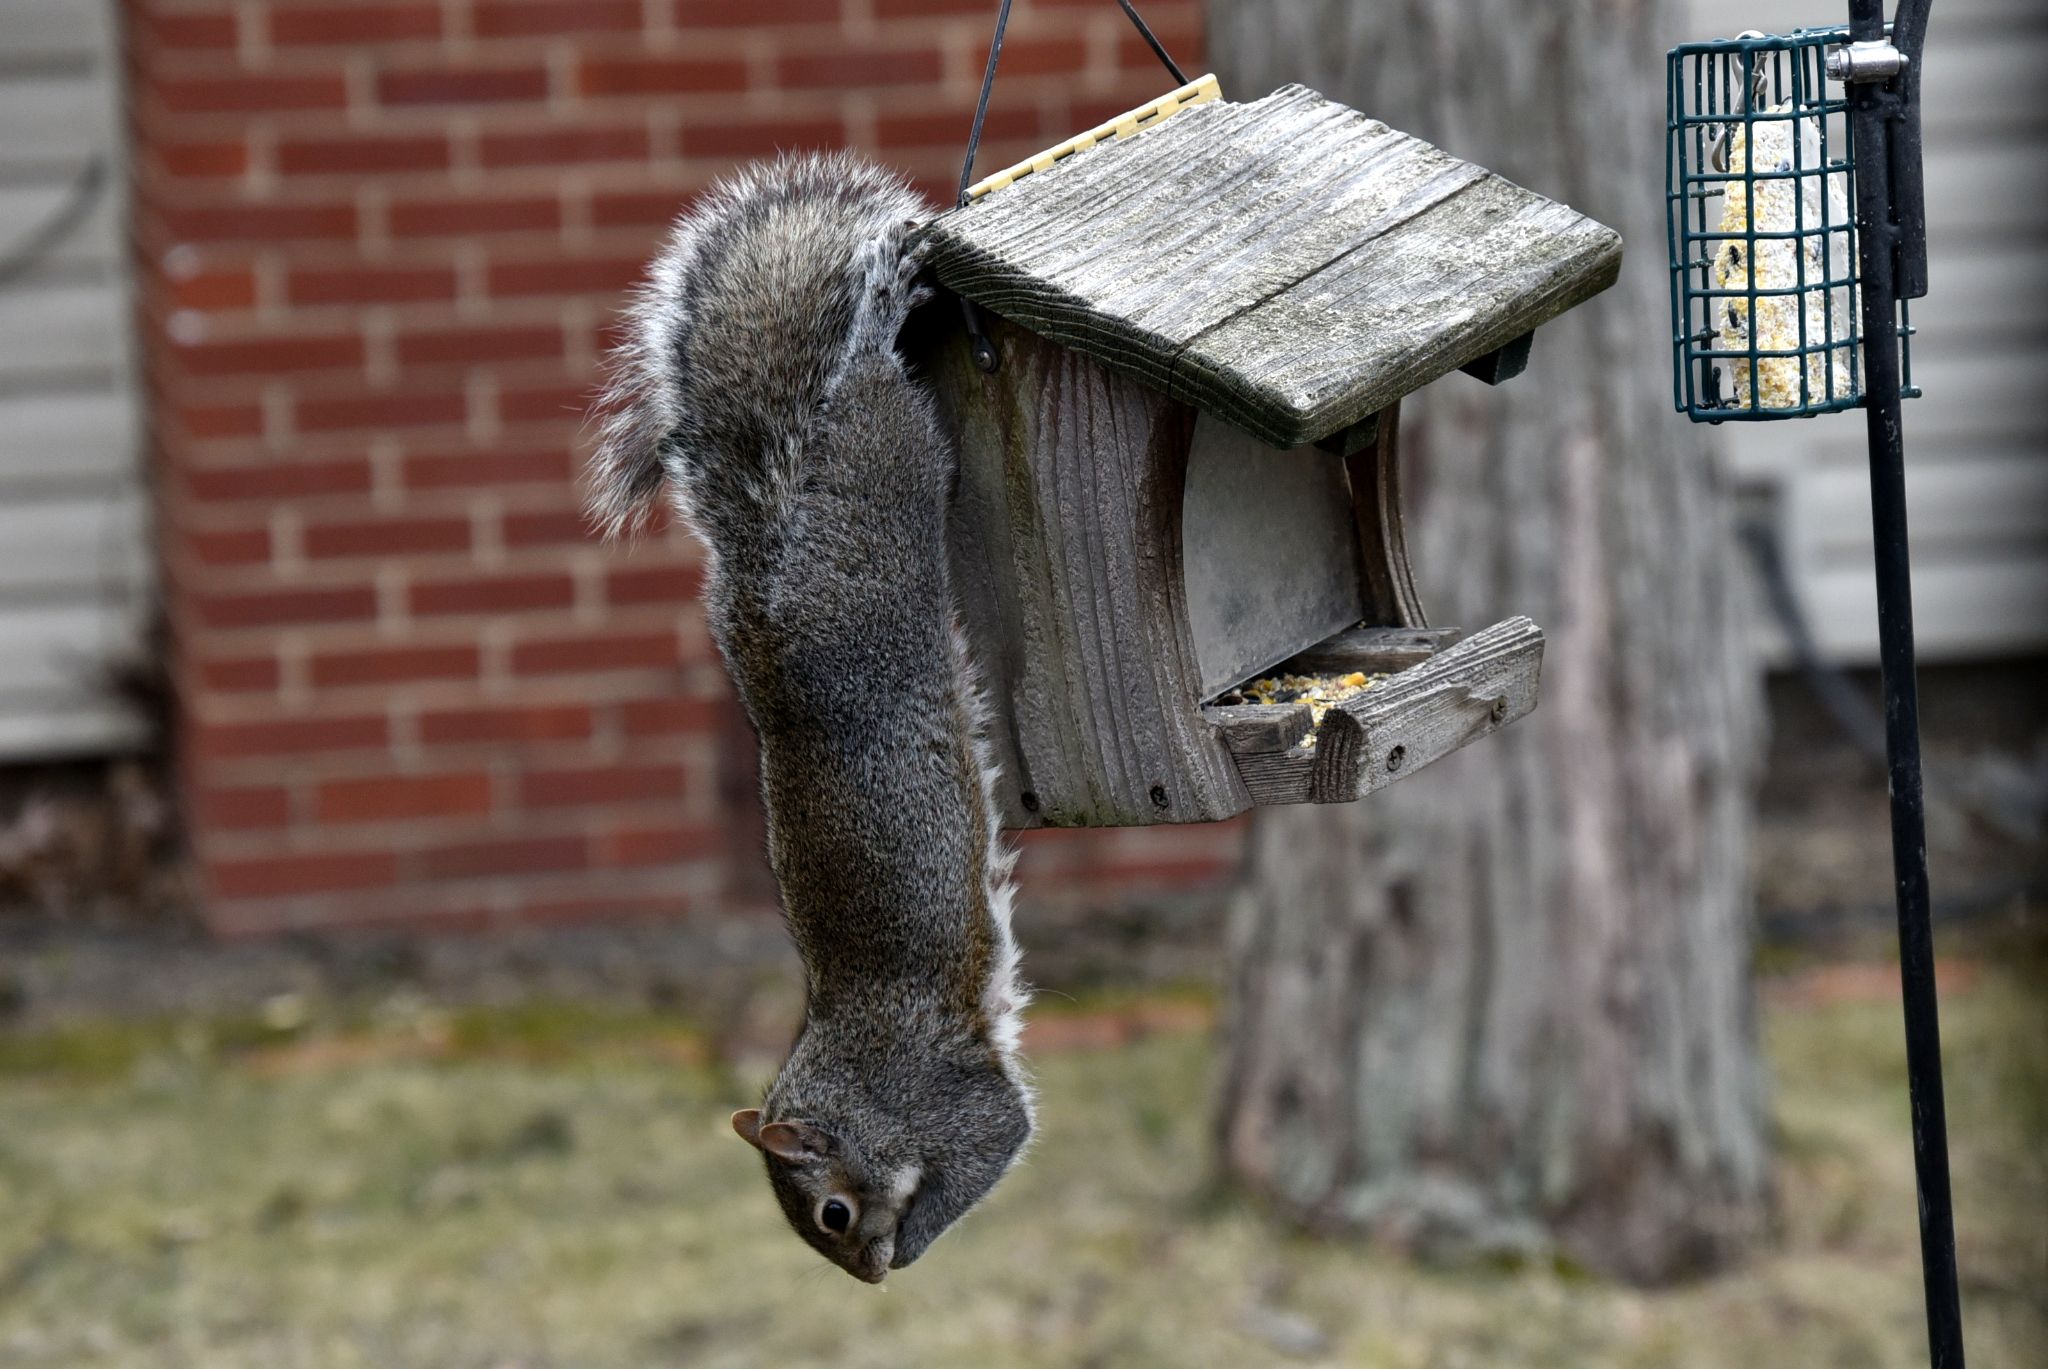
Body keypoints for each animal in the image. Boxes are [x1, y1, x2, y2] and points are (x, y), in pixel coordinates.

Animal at [587, 152, 1032, 1283]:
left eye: (831, 1213)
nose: (872, 1276)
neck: (855, 1076)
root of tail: (767, 543)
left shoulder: (953, 1098)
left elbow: (995, 1140)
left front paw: (918, 1238)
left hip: (887, 471)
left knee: (874, 400)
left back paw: (879, 322)